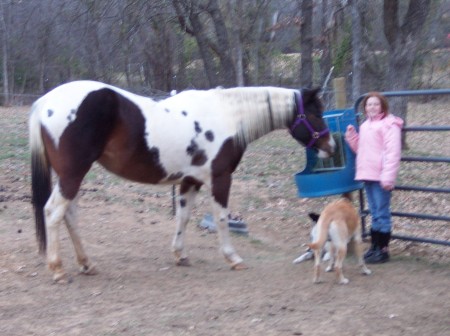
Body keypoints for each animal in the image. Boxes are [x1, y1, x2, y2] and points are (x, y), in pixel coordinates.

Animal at [29, 80, 334, 280]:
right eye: (316, 112)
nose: (330, 147)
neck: (227, 116)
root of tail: (45, 103)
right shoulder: (220, 179)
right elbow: (221, 218)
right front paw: (233, 258)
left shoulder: (190, 181)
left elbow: (183, 217)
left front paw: (180, 255)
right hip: (73, 174)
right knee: (53, 212)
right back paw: (57, 268)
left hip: (71, 175)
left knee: (69, 215)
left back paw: (87, 264)